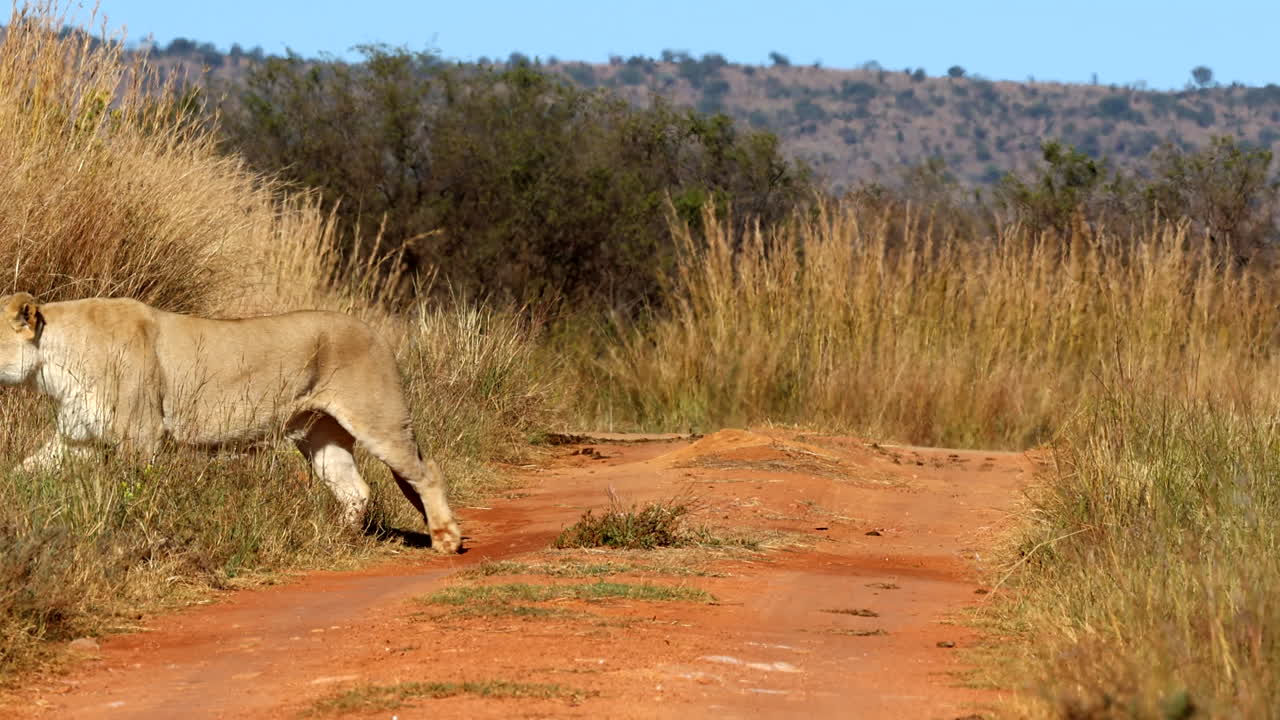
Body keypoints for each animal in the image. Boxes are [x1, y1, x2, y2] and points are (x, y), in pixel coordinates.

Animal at [0, 292, 461, 554]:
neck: (51, 360)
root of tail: (377, 333)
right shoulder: (76, 440)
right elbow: (22, 471)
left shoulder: (141, 435)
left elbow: (130, 495)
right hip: (319, 435)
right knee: (356, 490)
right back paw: (338, 541)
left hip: (380, 419)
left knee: (428, 473)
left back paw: (446, 539)